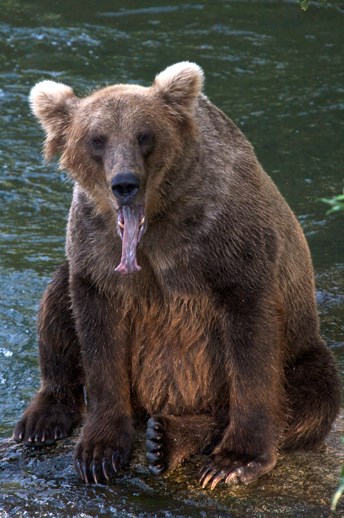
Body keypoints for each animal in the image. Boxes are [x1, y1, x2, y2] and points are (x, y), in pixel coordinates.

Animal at [13, 63, 342, 490]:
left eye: (144, 135)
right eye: (97, 139)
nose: (125, 183)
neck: (155, 218)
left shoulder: (226, 244)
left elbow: (252, 348)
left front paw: (235, 459)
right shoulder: (96, 251)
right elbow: (97, 335)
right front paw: (99, 453)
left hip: (303, 350)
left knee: (312, 398)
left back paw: (169, 437)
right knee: (56, 300)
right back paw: (44, 419)